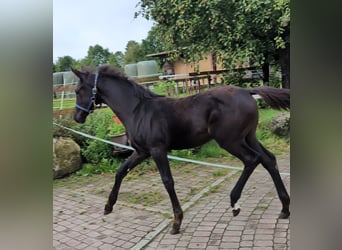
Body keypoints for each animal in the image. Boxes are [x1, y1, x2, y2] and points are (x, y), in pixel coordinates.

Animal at [72, 65, 292, 234]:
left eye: (77, 90)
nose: (77, 117)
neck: (137, 110)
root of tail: (246, 91)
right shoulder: (142, 152)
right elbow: (120, 172)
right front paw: (108, 206)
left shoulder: (157, 150)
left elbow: (167, 181)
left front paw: (177, 222)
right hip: (249, 137)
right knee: (268, 159)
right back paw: (284, 208)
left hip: (230, 141)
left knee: (252, 160)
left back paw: (235, 203)